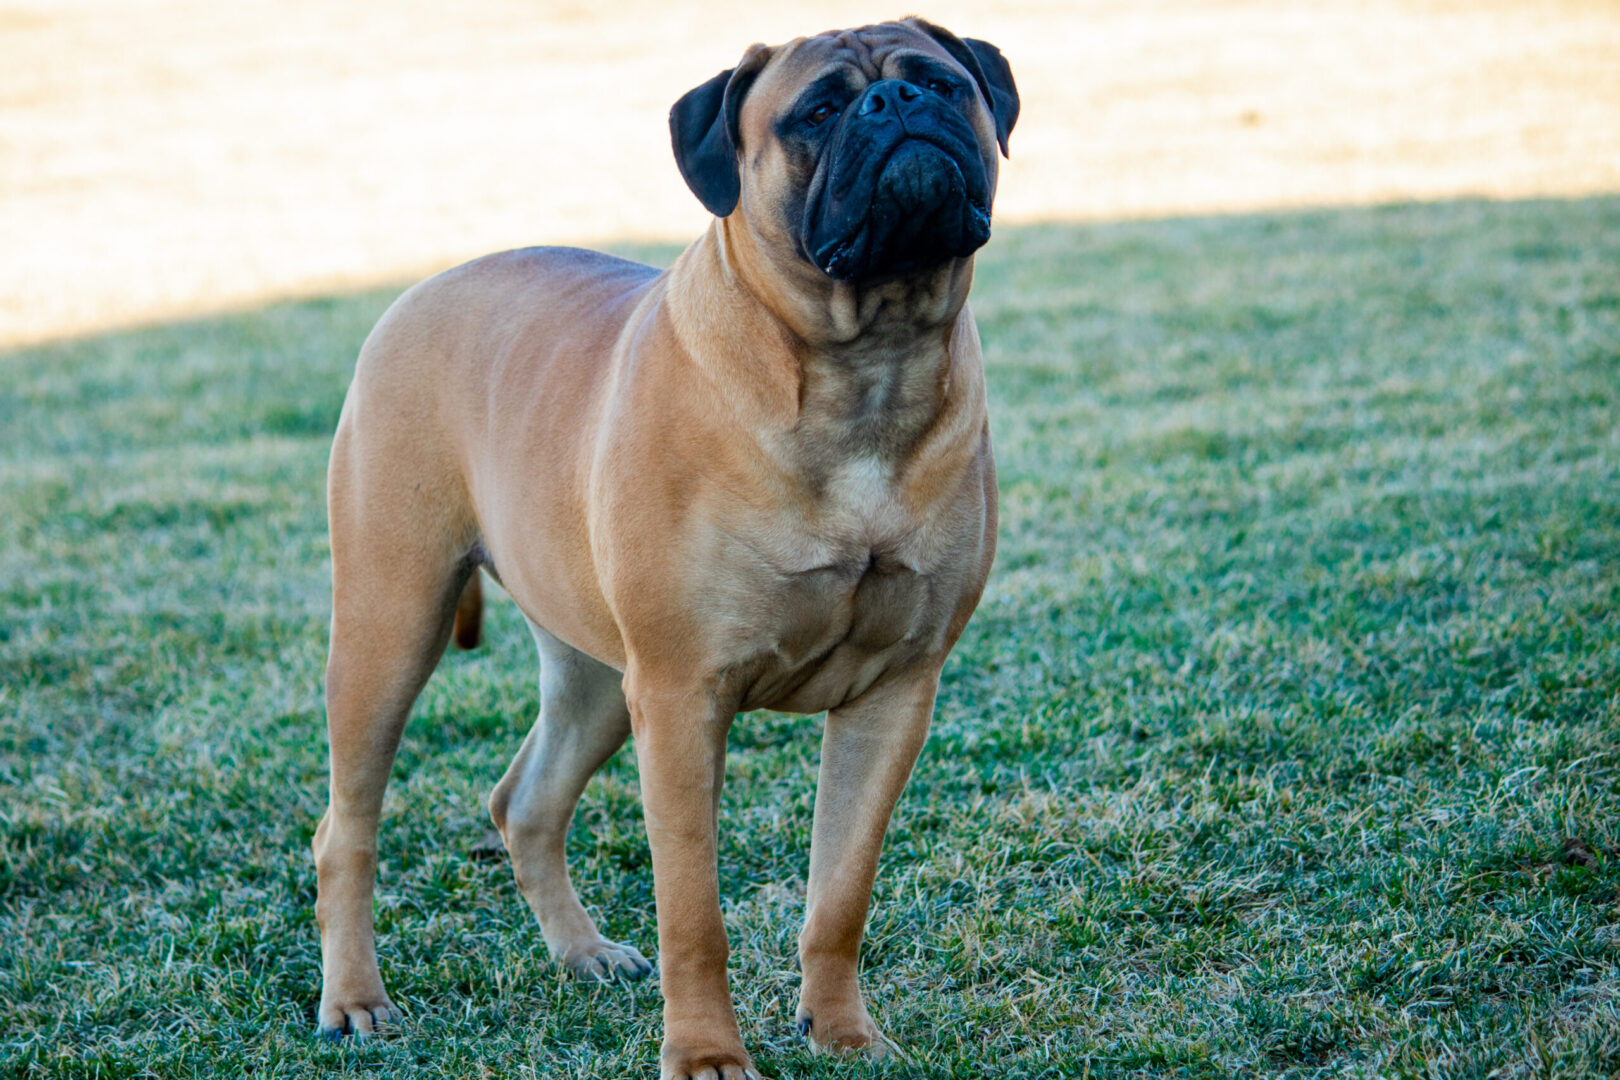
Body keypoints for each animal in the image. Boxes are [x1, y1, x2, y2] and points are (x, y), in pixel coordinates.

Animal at [311, 16, 1017, 1080]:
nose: (896, 105)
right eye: (818, 111)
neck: (865, 362)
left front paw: (844, 1033)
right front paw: (706, 1056)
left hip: (598, 673)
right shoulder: (685, 697)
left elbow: (840, 892)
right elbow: (695, 914)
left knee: (525, 803)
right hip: (392, 624)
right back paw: (355, 998)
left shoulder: (897, 691)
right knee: (346, 827)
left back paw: (582, 952)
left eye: (939, 83)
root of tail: (419, 290)